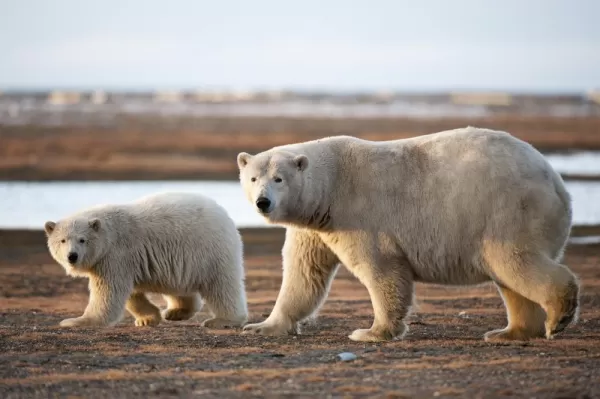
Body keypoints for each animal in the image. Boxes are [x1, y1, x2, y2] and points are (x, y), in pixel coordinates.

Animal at [237, 126, 580, 342]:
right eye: (253, 177)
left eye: (279, 179)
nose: (263, 202)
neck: (331, 185)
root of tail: (556, 180)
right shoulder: (315, 228)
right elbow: (304, 274)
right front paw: (261, 326)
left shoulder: (360, 214)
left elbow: (381, 270)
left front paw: (371, 332)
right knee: (510, 277)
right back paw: (508, 333)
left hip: (507, 210)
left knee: (514, 261)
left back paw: (557, 318)